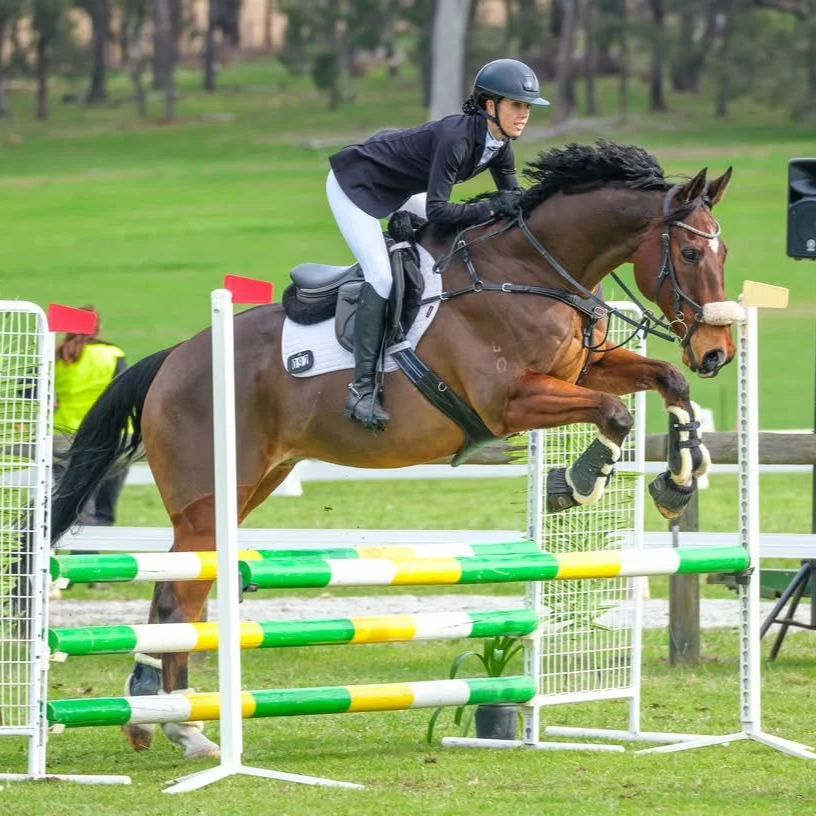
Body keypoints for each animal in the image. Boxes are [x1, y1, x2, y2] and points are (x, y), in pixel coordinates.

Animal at [49, 141, 736, 758]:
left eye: (723, 251)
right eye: (690, 251)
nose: (716, 353)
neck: (532, 273)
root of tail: (172, 359)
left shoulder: (584, 368)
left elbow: (662, 382)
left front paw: (677, 480)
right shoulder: (511, 402)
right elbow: (615, 413)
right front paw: (577, 483)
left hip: (251, 485)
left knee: (182, 590)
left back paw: (166, 720)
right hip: (208, 498)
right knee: (177, 594)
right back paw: (174, 723)